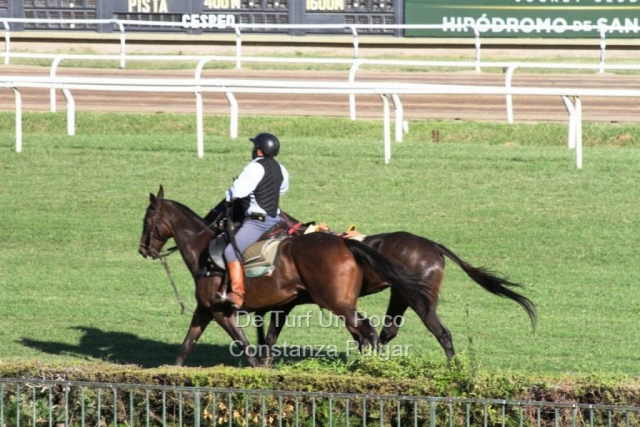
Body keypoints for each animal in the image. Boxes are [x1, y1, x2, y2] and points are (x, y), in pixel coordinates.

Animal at [138, 186, 434, 367]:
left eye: (146, 220)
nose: (143, 249)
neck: (204, 252)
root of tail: (346, 243)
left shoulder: (222, 312)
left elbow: (246, 347)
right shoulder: (206, 309)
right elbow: (187, 345)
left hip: (336, 302)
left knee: (367, 330)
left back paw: (372, 365)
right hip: (345, 302)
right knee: (366, 332)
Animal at [253, 220, 537, 361]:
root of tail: (434, 246)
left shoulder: (334, 299)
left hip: (418, 299)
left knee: (441, 332)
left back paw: (451, 367)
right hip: (401, 294)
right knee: (388, 331)